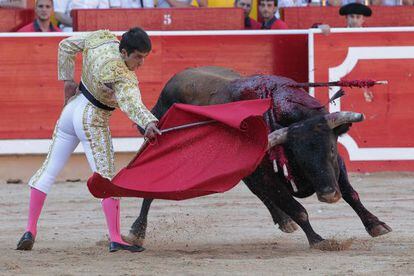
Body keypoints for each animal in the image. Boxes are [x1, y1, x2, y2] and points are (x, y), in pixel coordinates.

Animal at [123, 66, 392, 248]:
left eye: (332, 150)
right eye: (299, 156)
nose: (328, 195)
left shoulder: (337, 168)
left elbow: (351, 194)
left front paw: (376, 225)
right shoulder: (266, 176)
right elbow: (298, 209)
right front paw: (318, 240)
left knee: (258, 193)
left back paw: (283, 221)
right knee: (150, 188)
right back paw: (137, 231)